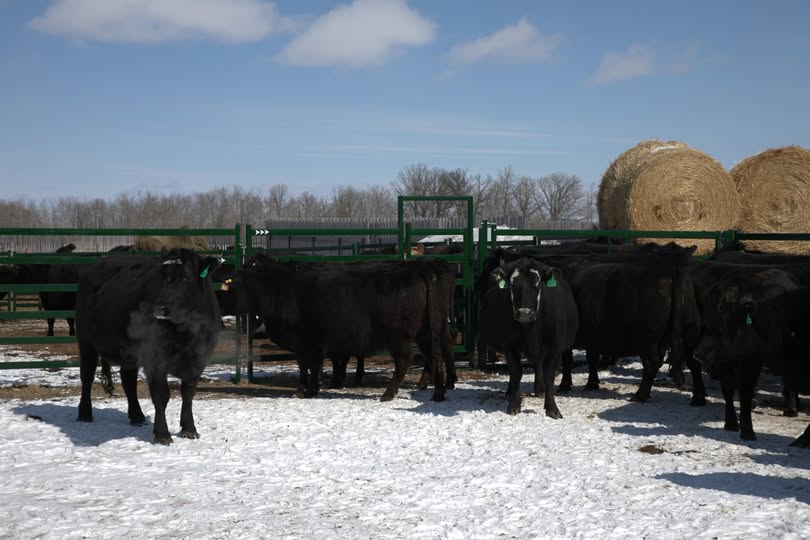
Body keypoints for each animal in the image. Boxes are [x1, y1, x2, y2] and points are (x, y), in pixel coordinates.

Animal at [75, 248, 223, 445]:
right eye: (161, 277)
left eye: (186, 277)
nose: (160, 308)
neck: (187, 332)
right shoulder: (155, 360)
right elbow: (162, 396)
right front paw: (162, 434)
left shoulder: (198, 360)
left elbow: (188, 393)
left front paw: (189, 429)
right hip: (86, 341)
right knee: (87, 376)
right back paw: (85, 413)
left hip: (128, 352)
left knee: (128, 379)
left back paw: (137, 416)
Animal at [221, 257, 457, 402]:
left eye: (232, 286)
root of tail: (421, 269)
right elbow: (308, 366)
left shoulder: (309, 341)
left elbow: (310, 366)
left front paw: (307, 390)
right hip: (428, 332)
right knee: (435, 357)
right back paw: (438, 393)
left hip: (399, 336)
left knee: (404, 361)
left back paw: (388, 394)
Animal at [478, 257, 578, 416]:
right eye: (512, 285)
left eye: (537, 284)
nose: (524, 313)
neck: (531, 330)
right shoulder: (509, 345)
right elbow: (516, 372)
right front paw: (514, 404)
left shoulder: (555, 347)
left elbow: (549, 375)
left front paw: (552, 408)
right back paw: (510, 392)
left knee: (538, 365)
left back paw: (540, 390)